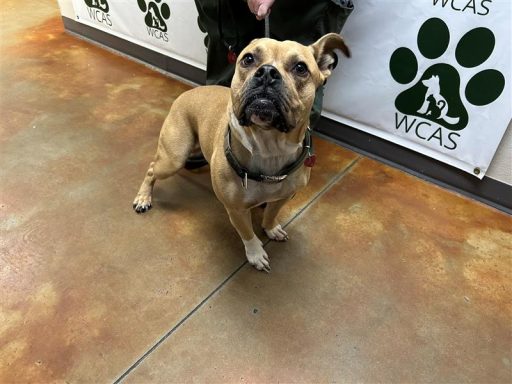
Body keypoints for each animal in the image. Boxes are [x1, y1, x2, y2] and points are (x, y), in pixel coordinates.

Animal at [133, 33, 348, 272]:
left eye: (301, 67)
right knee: (152, 168)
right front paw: (255, 254)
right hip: (173, 158)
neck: (269, 147)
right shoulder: (235, 210)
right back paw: (143, 197)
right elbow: (247, 233)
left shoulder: (283, 196)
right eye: (248, 59)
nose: (267, 72)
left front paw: (270, 228)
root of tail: (188, 92)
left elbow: (271, 213)